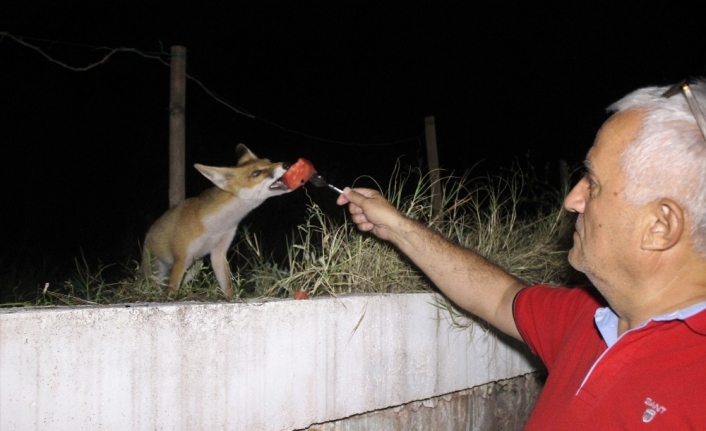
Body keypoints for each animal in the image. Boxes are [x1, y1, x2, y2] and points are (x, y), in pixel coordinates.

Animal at [142, 143, 290, 298]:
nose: (286, 164)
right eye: (256, 173)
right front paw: (172, 299)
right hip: (158, 271)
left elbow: (227, 286)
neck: (215, 228)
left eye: (269, 161)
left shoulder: (218, 253)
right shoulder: (181, 259)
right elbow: (172, 290)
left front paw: (231, 299)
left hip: (197, 265)